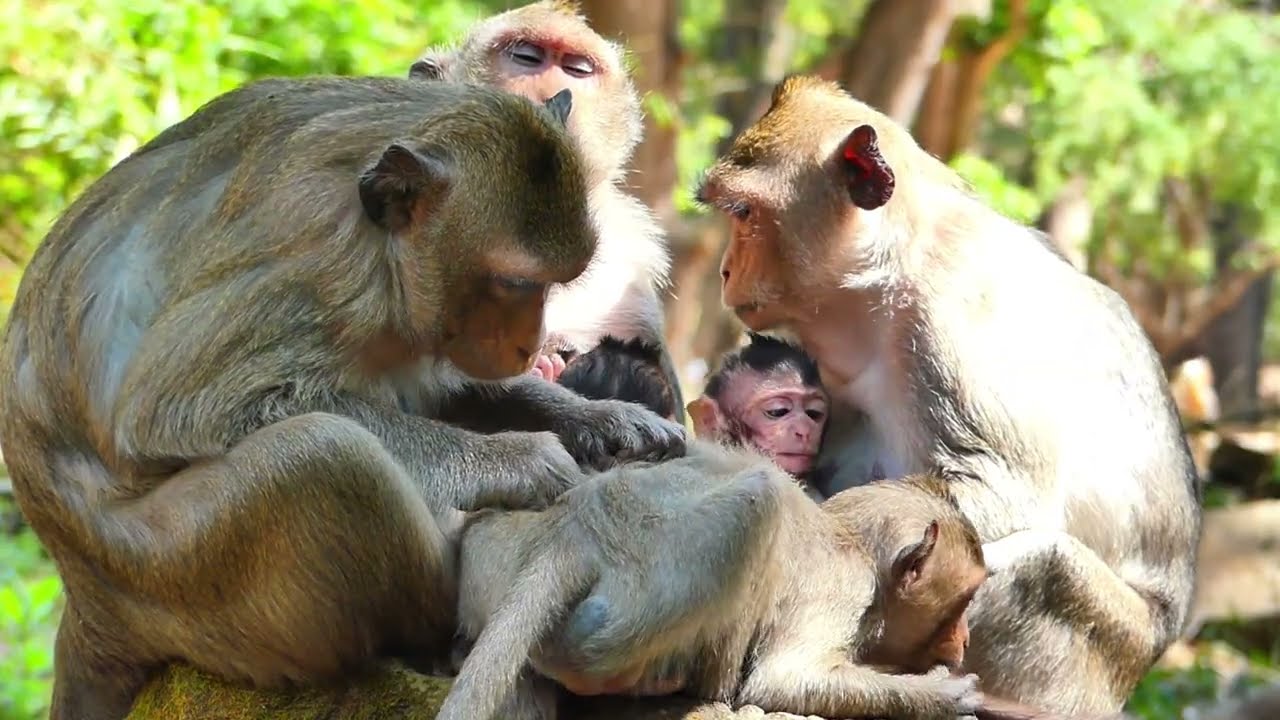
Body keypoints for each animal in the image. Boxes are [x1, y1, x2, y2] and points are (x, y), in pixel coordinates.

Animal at [0, 76, 687, 720]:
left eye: (555, 284)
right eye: (515, 283)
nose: (531, 344)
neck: (379, 243)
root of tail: (85, 598)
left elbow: (443, 388)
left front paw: (605, 419)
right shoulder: (313, 256)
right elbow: (174, 410)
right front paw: (522, 460)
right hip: (170, 579)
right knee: (323, 456)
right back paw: (434, 638)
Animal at [437, 441, 989, 720]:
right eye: (963, 603)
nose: (965, 640)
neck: (853, 539)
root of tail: (579, 525)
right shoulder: (843, 589)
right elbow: (784, 679)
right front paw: (943, 695)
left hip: (495, 549)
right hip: (649, 589)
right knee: (761, 501)